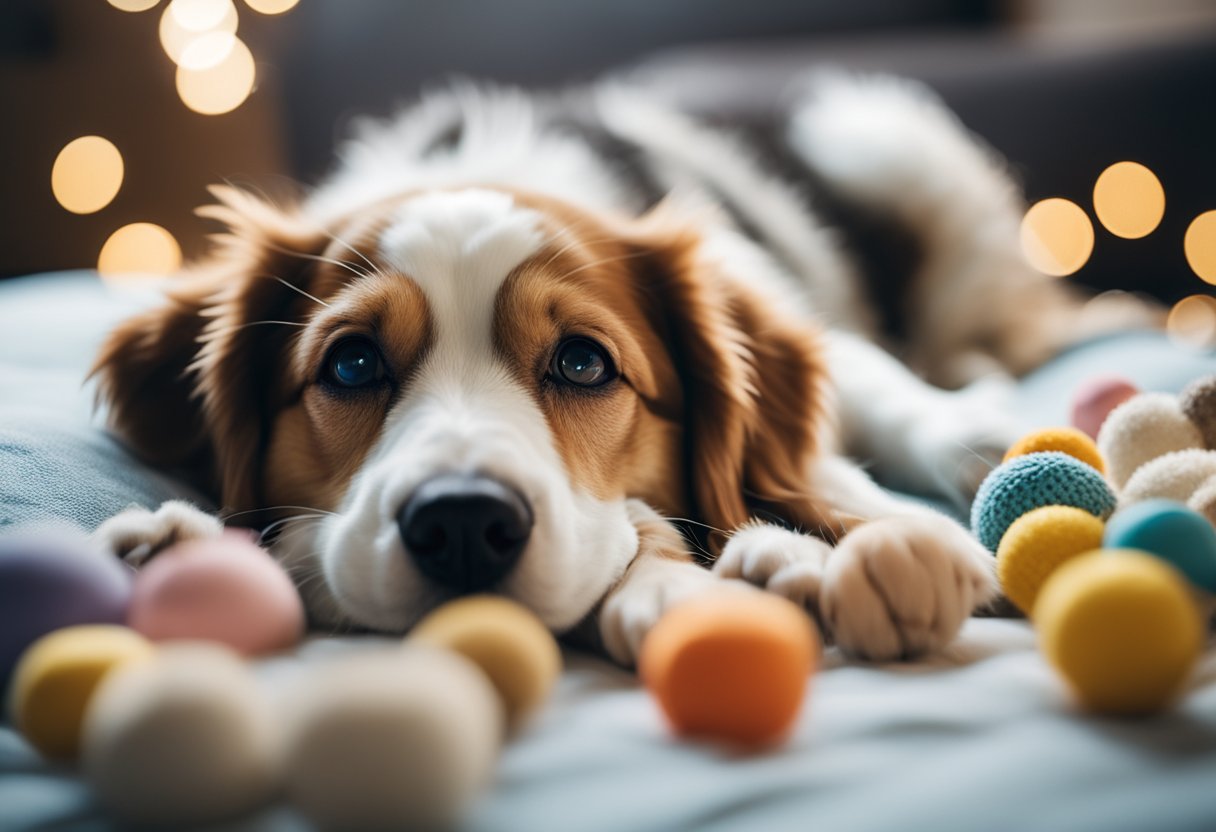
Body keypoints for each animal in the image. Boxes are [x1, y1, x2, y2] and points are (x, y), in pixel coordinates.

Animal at [88, 76, 1157, 661]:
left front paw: (912, 508)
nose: (462, 523)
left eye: (582, 362)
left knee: (1012, 321)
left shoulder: (797, 316)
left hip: (888, 150)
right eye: (351, 366)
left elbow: (884, 405)